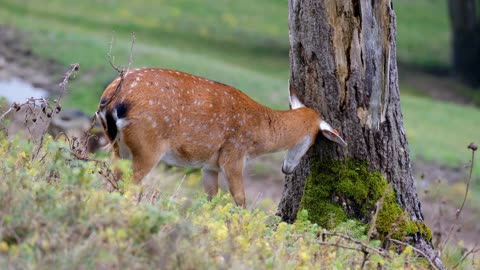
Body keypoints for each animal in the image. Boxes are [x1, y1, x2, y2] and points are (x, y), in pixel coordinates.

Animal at [97, 67, 344, 207]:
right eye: (313, 140)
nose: (287, 169)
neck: (258, 133)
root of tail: (110, 100)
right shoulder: (233, 155)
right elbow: (241, 199)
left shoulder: (210, 165)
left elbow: (212, 198)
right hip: (149, 144)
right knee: (129, 185)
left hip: (118, 147)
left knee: (111, 181)